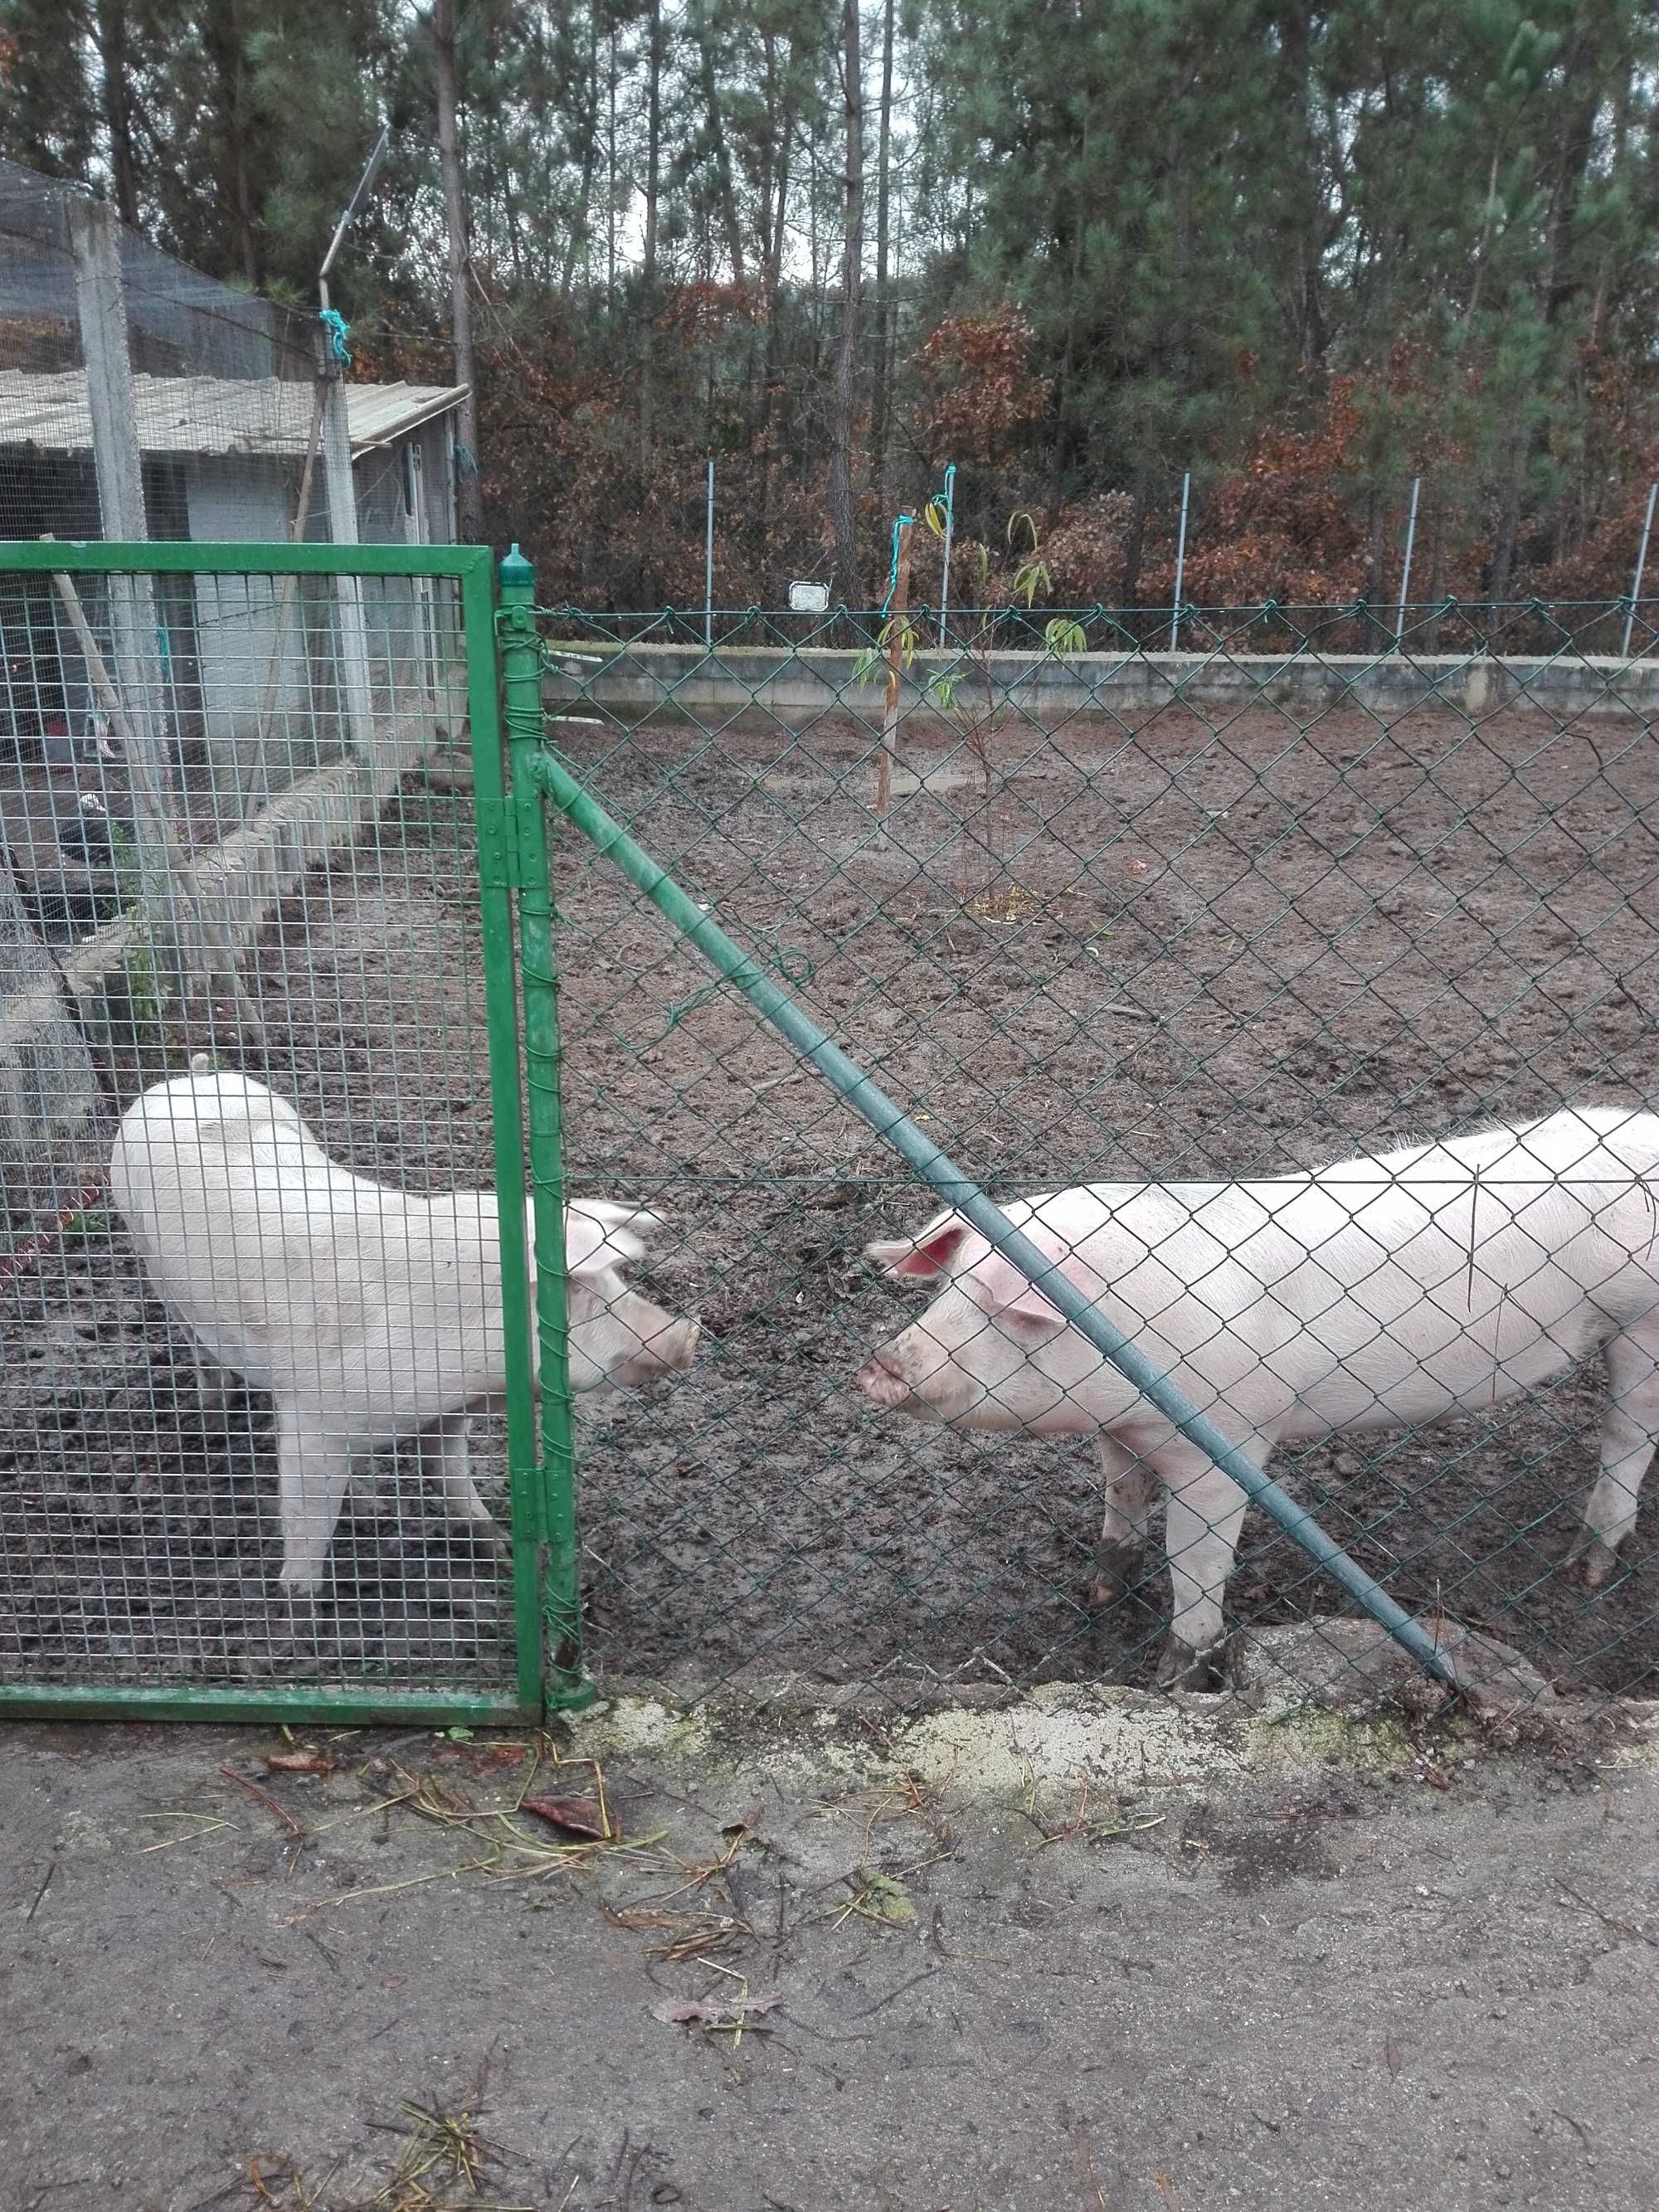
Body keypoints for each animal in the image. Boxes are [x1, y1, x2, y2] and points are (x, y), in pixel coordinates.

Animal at [107, 1066, 698, 1592]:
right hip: (147, 1253)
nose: (686, 1336)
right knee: (194, 1343)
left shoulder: (448, 1412)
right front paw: (299, 1605)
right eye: (580, 1290)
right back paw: (214, 1416)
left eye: (618, 1280)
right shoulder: (311, 1416)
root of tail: (191, 1077)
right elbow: (307, 1516)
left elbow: (451, 1472)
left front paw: (501, 1550)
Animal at [863, 1106, 1659, 1689]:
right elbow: (1121, 1500)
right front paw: (1100, 1595)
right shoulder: (1122, 1430)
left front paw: (1171, 1682)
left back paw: (1587, 1570)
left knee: (1629, 1436)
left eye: (1003, 1307)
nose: (879, 1365)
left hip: (1642, 1322)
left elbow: (1196, 1564)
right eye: (947, 1287)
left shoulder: (1227, 1442)